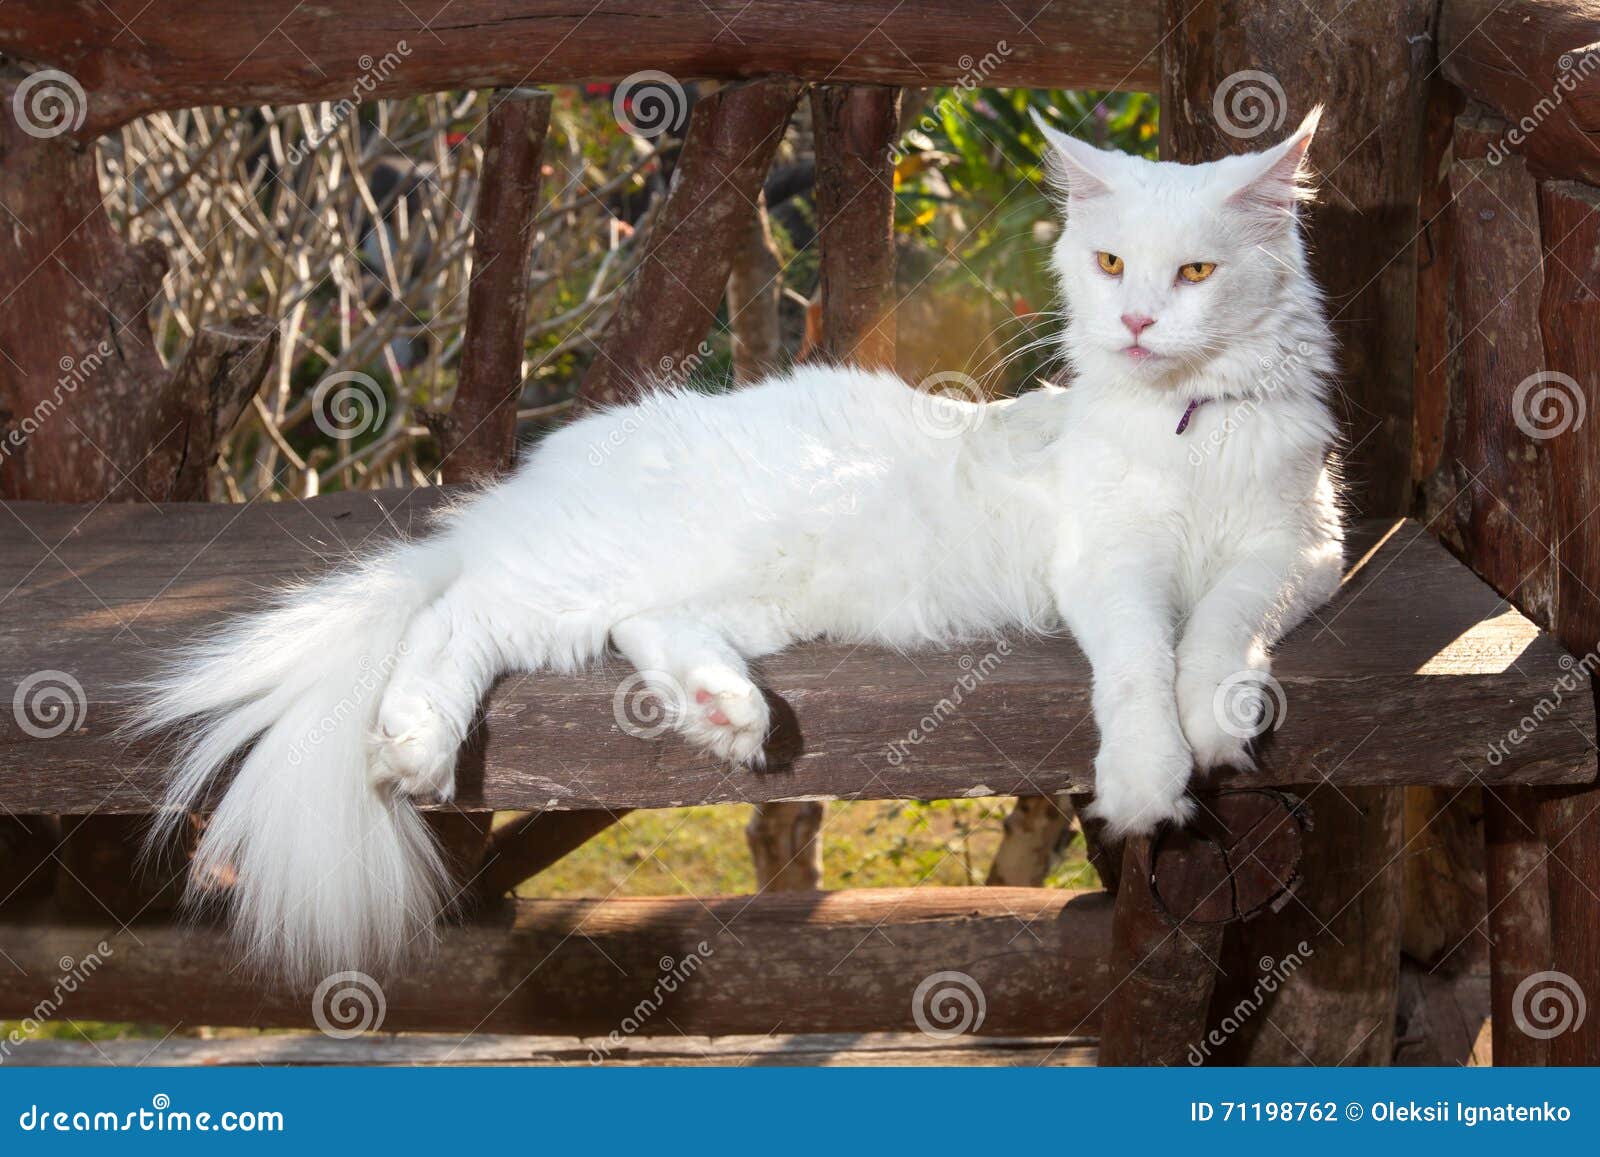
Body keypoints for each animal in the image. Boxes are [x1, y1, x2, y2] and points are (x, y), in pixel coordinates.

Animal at [137, 108, 1344, 979]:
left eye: (1193, 275)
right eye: (1108, 265)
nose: (1136, 323)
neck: (1186, 424)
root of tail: (534, 478)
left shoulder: (1298, 547)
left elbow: (1221, 630)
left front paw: (1219, 717)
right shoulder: (1108, 562)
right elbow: (1142, 665)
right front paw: (1153, 776)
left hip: (741, 592)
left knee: (637, 629)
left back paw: (726, 711)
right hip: (580, 573)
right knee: (453, 615)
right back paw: (418, 744)